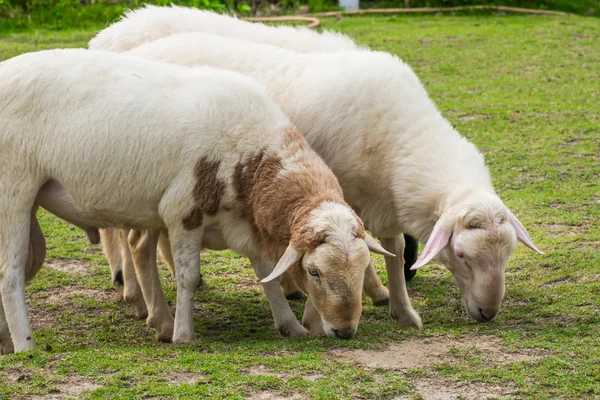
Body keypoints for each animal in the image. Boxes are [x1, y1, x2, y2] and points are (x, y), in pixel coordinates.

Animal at [0, 49, 394, 354]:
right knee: (11, 271)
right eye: (314, 272)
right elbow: (189, 278)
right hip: (13, 190)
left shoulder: (247, 223)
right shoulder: (184, 211)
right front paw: (184, 335)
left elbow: (267, 275)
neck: (253, 162)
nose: (345, 331)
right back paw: (25, 345)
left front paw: (290, 327)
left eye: (363, 269)